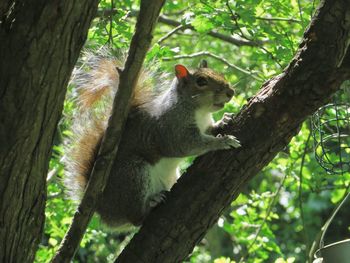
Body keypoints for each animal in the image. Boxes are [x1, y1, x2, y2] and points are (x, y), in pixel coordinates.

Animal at [64, 51, 241, 229]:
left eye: (220, 74)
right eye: (201, 81)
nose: (231, 92)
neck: (199, 112)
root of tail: (104, 210)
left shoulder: (204, 126)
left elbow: (210, 129)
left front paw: (224, 121)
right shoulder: (172, 131)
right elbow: (189, 145)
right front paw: (223, 141)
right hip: (132, 175)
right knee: (136, 218)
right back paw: (151, 204)